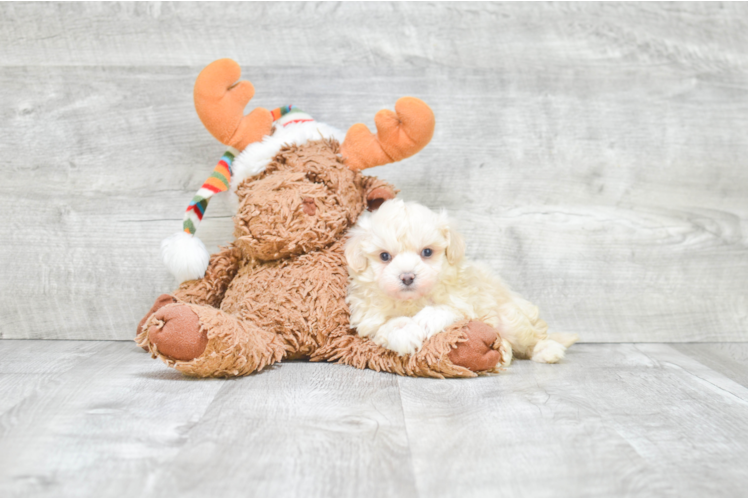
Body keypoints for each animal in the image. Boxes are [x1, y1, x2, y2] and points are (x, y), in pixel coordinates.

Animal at [344, 197, 580, 366]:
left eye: (427, 252)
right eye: (384, 256)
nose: (407, 276)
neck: (413, 300)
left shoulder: (466, 302)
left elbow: (447, 308)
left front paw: (426, 319)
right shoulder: (368, 319)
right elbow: (388, 324)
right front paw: (406, 332)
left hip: (512, 319)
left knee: (533, 336)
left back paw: (547, 350)